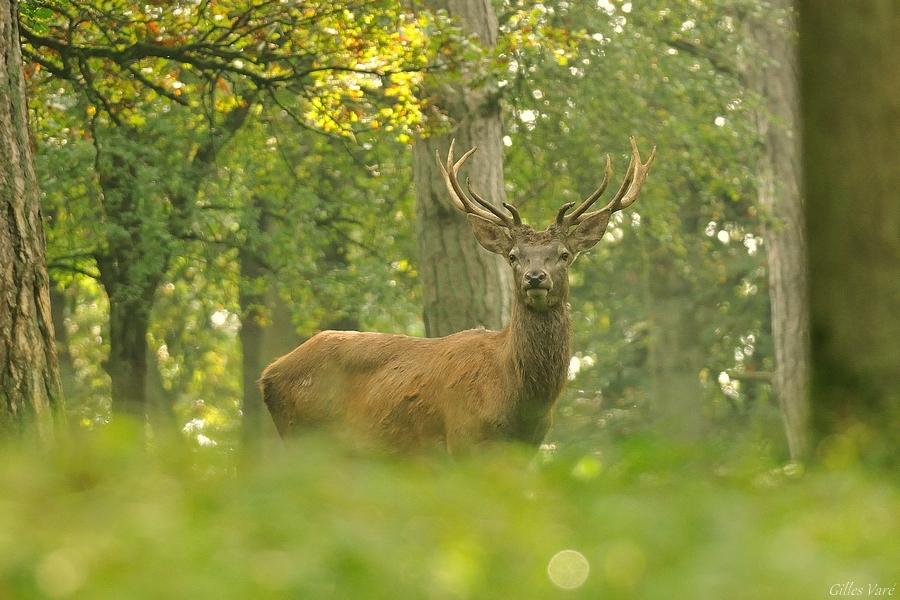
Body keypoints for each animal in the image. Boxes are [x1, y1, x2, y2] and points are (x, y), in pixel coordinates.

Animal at [258, 138, 652, 452]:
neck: (516, 398)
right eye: (513, 256)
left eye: (565, 254)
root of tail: (267, 374)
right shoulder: (464, 438)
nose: (535, 277)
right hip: (306, 435)